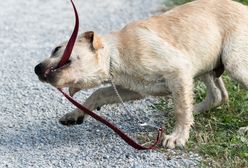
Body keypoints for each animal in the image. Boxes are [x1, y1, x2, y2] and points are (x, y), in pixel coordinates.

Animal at [35, 0, 248, 149]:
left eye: (56, 49)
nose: (36, 68)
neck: (115, 54)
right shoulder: (136, 89)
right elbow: (99, 93)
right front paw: (74, 114)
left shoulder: (178, 70)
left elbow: (180, 109)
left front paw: (177, 137)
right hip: (206, 64)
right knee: (218, 95)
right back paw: (193, 111)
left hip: (234, 63)